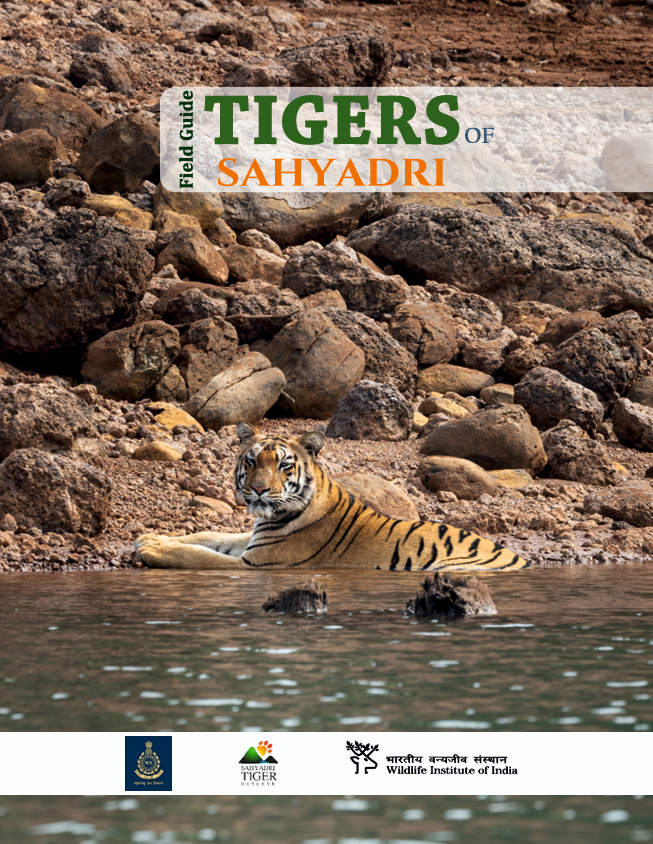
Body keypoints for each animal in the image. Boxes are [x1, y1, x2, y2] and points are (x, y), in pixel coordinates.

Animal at [134, 421, 528, 572]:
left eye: (283, 465)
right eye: (251, 461)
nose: (259, 489)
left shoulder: (259, 564)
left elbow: (198, 555)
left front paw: (151, 550)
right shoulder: (253, 540)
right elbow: (207, 536)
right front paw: (150, 537)